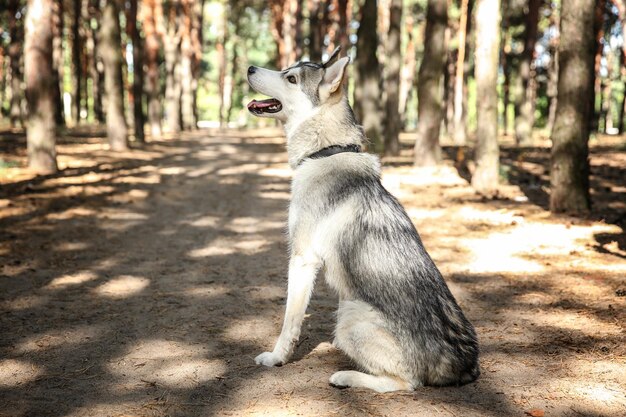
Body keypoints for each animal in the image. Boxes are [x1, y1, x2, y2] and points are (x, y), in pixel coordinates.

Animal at [245, 47, 478, 392]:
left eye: (291, 78)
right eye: (287, 70)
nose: (249, 68)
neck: (327, 150)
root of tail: (466, 365)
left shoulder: (302, 259)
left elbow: (289, 323)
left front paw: (276, 358)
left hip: (348, 315)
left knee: (407, 383)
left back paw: (344, 376)